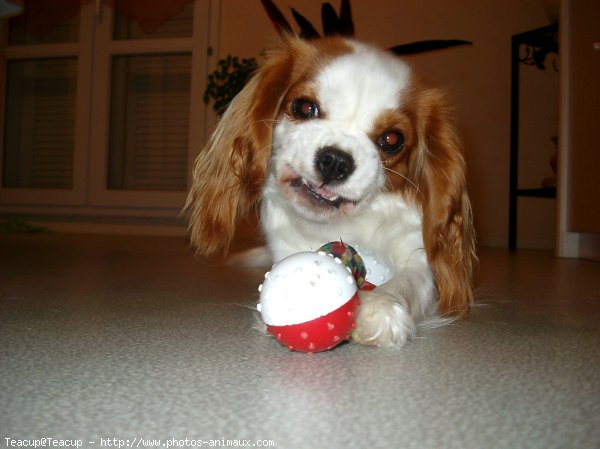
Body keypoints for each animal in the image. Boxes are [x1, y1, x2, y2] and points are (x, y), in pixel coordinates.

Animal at [185, 36, 476, 348]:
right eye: (304, 107)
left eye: (391, 140)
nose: (336, 161)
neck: (344, 227)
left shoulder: (418, 257)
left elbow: (410, 282)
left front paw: (380, 307)